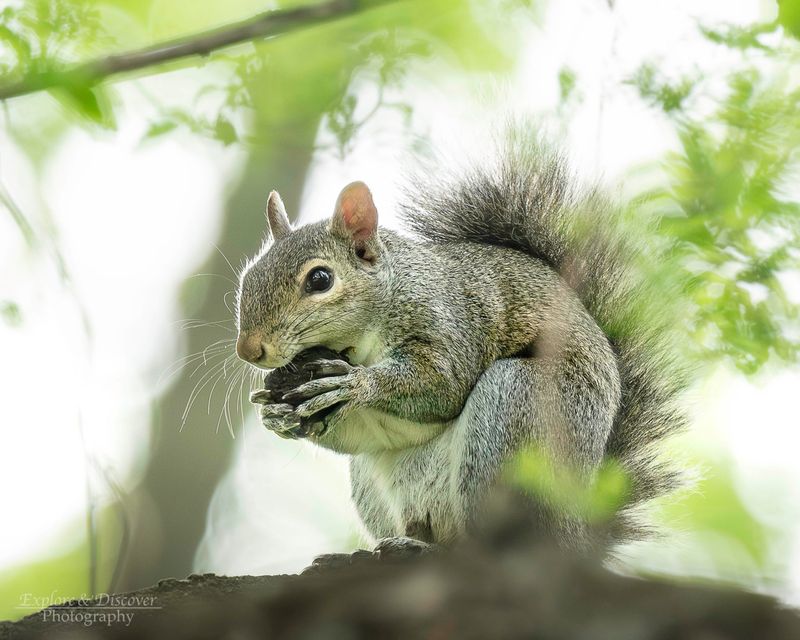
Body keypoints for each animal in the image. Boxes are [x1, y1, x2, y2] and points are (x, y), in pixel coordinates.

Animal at [236, 136, 685, 552]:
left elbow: (443, 383)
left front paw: (356, 384)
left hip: (516, 413)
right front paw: (276, 414)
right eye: (249, 275)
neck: (358, 344)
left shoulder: (453, 321)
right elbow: (357, 433)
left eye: (320, 279)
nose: (249, 350)